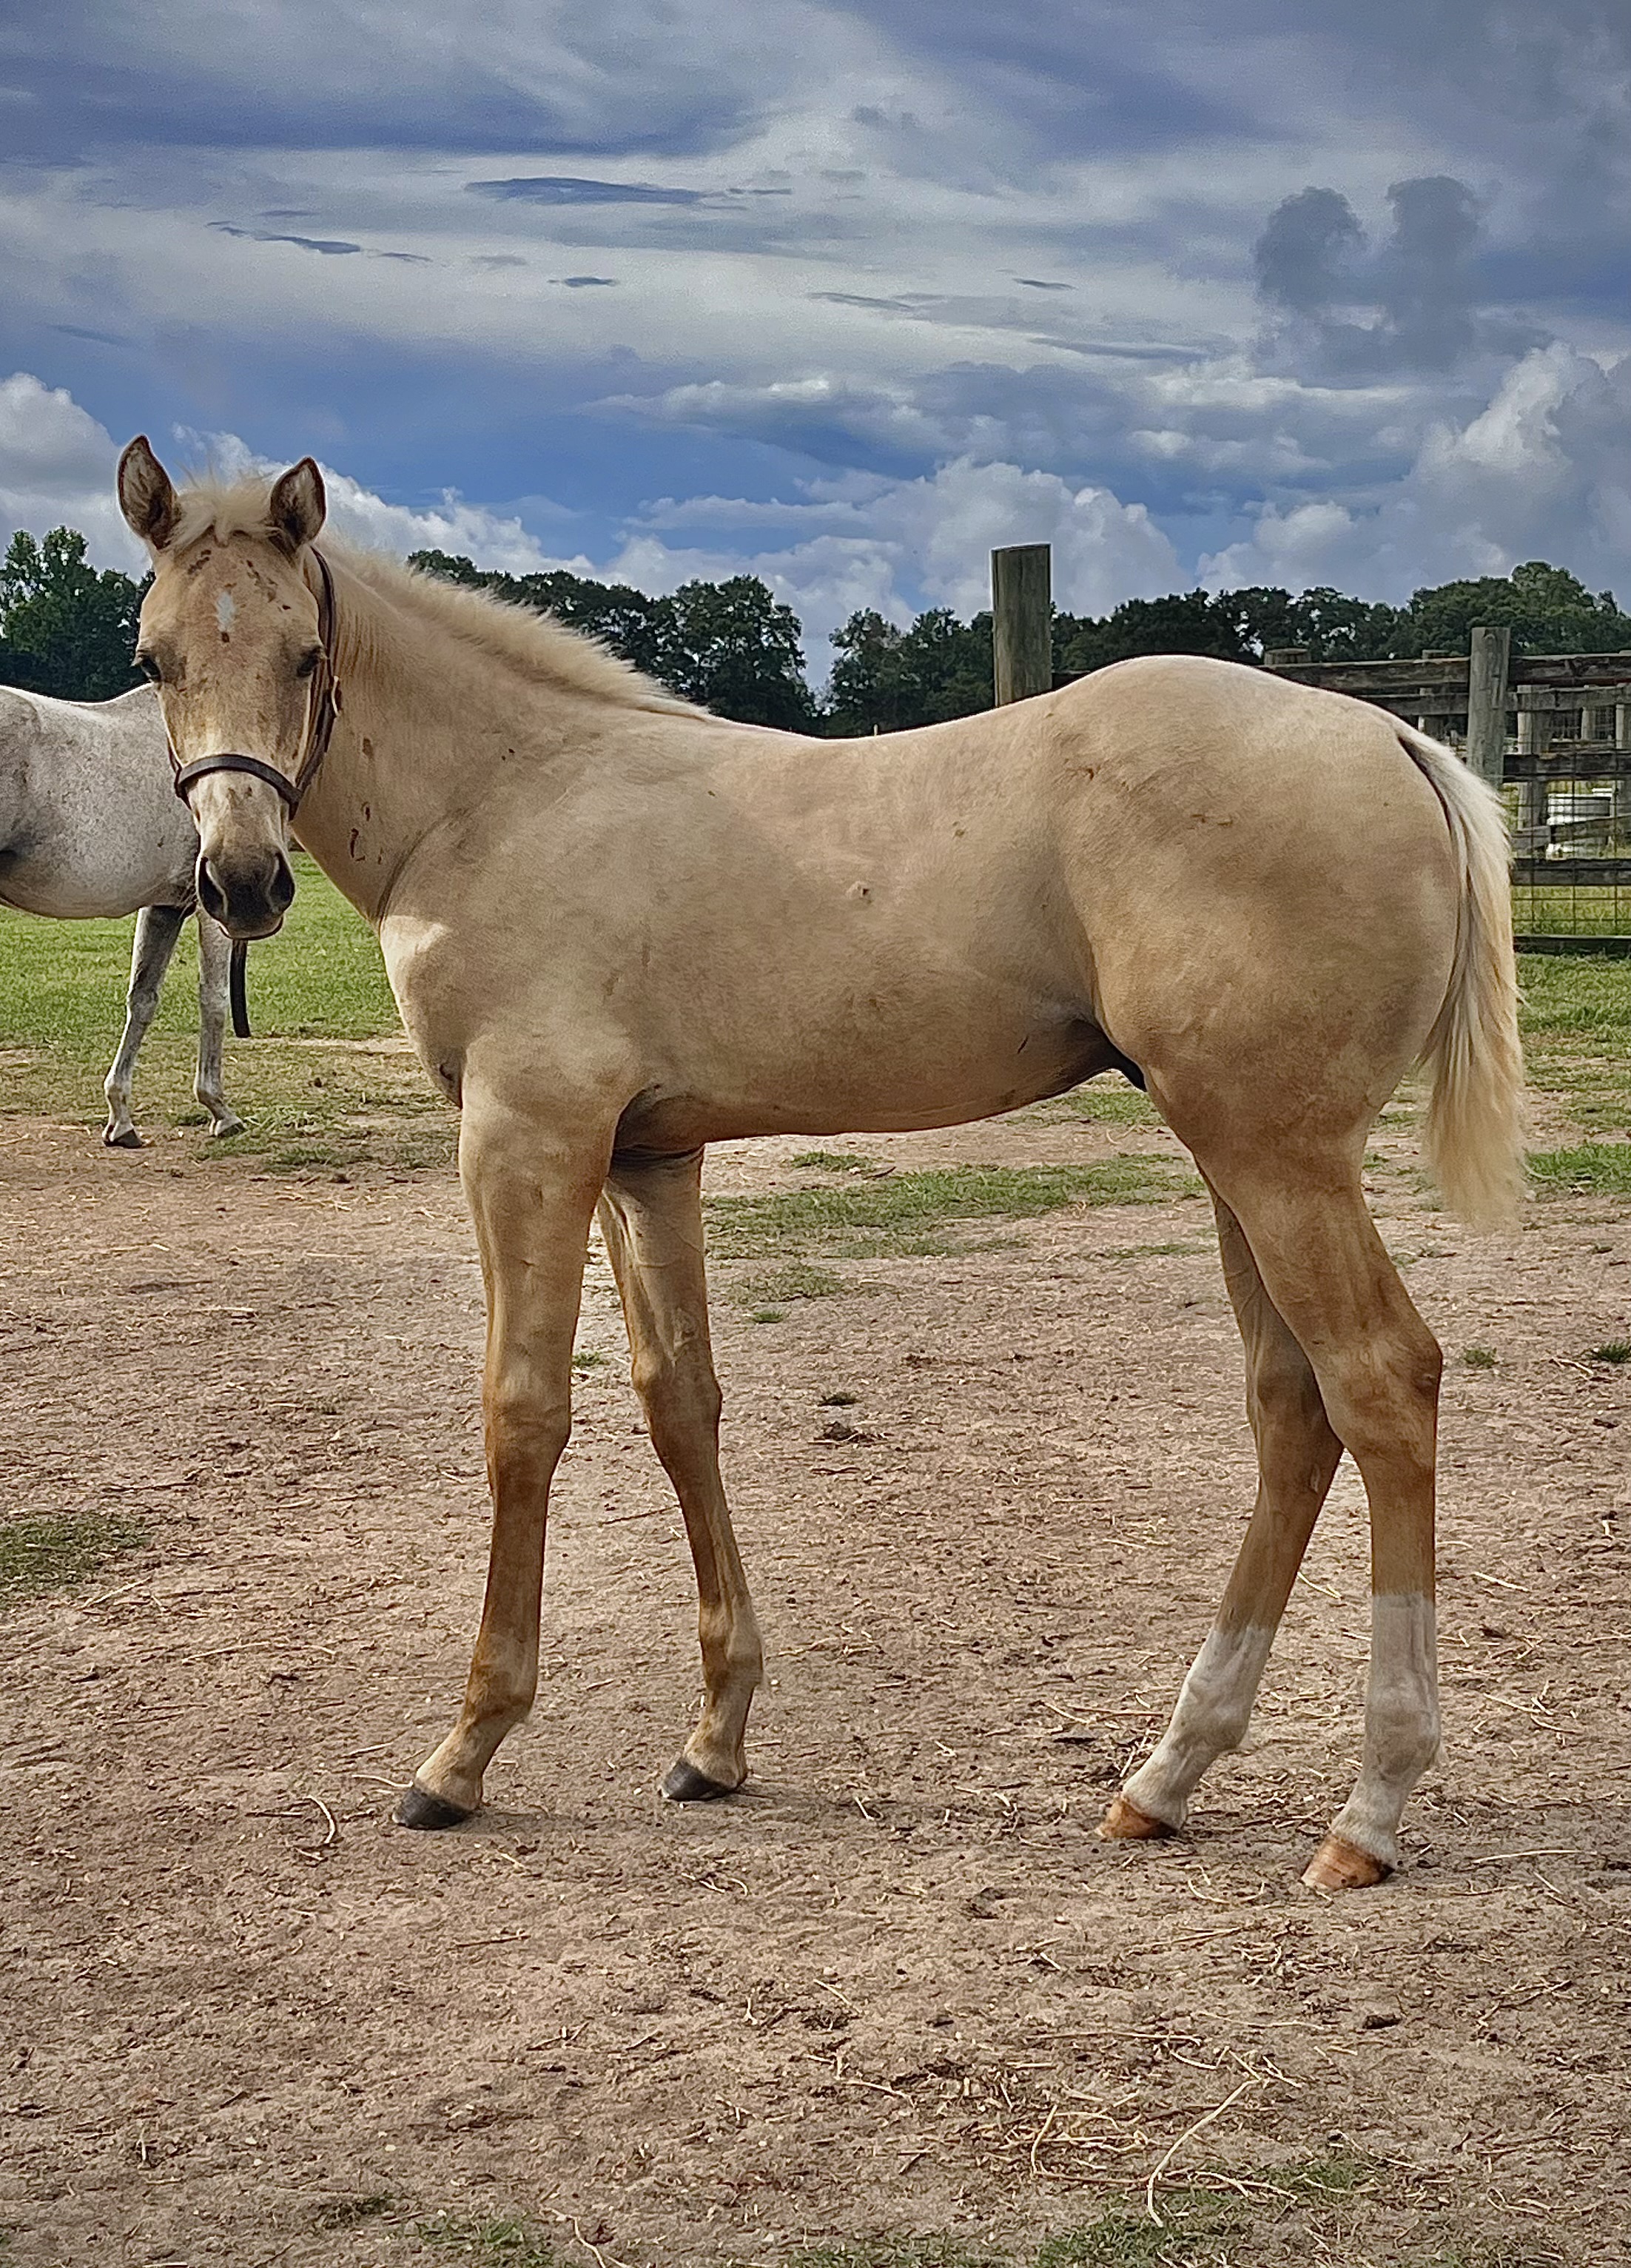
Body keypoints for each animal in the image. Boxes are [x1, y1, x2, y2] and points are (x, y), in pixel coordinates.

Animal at [0, 680, 247, 1145]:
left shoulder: (165, 907)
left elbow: (143, 999)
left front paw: (120, 1118)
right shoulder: (213, 911)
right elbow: (214, 998)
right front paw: (220, 1110)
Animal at [116, 436, 1525, 1892]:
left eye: (301, 654)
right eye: (154, 655)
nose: (239, 882)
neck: (503, 799)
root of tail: (1392, 735)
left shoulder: (525, 1139)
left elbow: (523, 1415)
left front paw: (464, 1751)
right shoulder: (646, 1159)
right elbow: (679, 1401)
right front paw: (715, 1741)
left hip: (1279, 1162)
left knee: (1380, 1383)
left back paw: (1368, 1807)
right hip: (1235, 1159)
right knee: (1290, 1408)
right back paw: (1166, 1774)